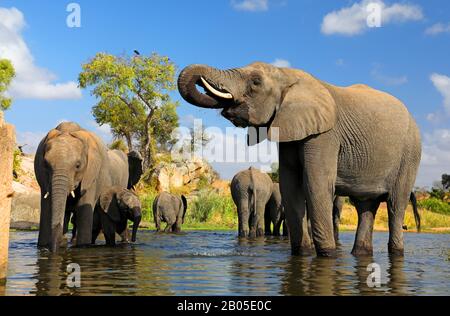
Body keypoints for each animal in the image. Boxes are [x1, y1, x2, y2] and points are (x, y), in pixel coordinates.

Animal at [33, 121, 126, 252]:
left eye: (78, 165)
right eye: (46, 164)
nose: (54, 249)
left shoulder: (92, 174)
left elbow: (84, 207)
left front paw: (82, 246)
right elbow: (46, 207)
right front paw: (43, 247)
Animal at [178, 62, 422, 256]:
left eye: (256, 82)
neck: (289, 76)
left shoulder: (325, 134)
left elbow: (315, 184)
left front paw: (327, 255)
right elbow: (290, 186)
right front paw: (303, 253)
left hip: (410, 154)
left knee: (395, 204)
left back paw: (396, 251)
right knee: (365, 206)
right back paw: (360, 253)